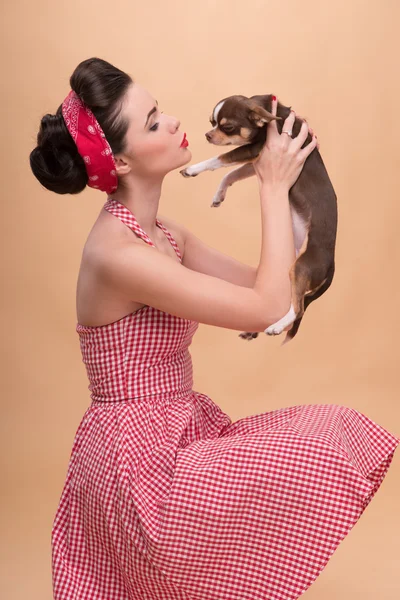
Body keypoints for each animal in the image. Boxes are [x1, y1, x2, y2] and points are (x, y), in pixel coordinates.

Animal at [180, 95, 338, 346]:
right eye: (212, 122)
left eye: (227, 127)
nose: (207, 135)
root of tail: (331, 265)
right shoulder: (256, 159)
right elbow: (230, 174)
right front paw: (219, 194)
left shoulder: (252, 149)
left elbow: (219, 159)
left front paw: (193, 169)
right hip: (290, 269)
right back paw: (254, 329)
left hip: (301, 267)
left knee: (299, 309)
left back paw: (276, 326)